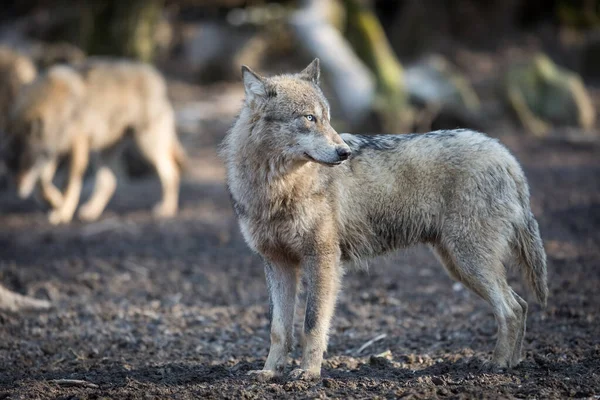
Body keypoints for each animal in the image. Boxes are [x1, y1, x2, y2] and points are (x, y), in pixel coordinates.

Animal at [221, 59, 548, 382]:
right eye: (309, 118)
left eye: (327, 119)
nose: (344, 152)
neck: (277, 187)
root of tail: (506, 155)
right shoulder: (277, 263)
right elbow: (278, 329)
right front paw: (269, 372)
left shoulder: (323, 259)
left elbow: (312, 324)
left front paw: (309, 372)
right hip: (458, 265)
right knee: (521, 305)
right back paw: (514, 363)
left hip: (469, 262)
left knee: (510, 309)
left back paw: (497, 366)